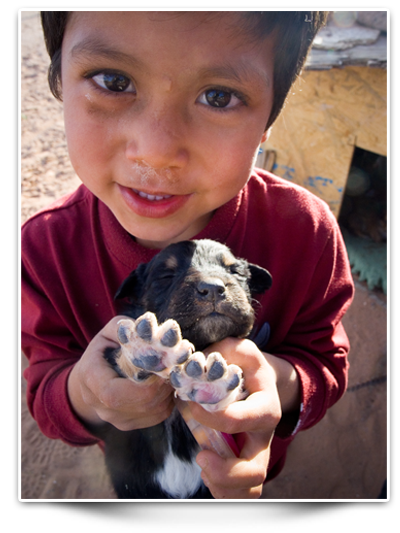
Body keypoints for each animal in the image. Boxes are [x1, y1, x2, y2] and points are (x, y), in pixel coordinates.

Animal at [95, 239, 274, 496]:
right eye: (166, 275)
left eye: (235, 271)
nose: (212, 288)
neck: (200, 343)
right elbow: (121, 358)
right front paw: (148, 348)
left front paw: (208, 383)